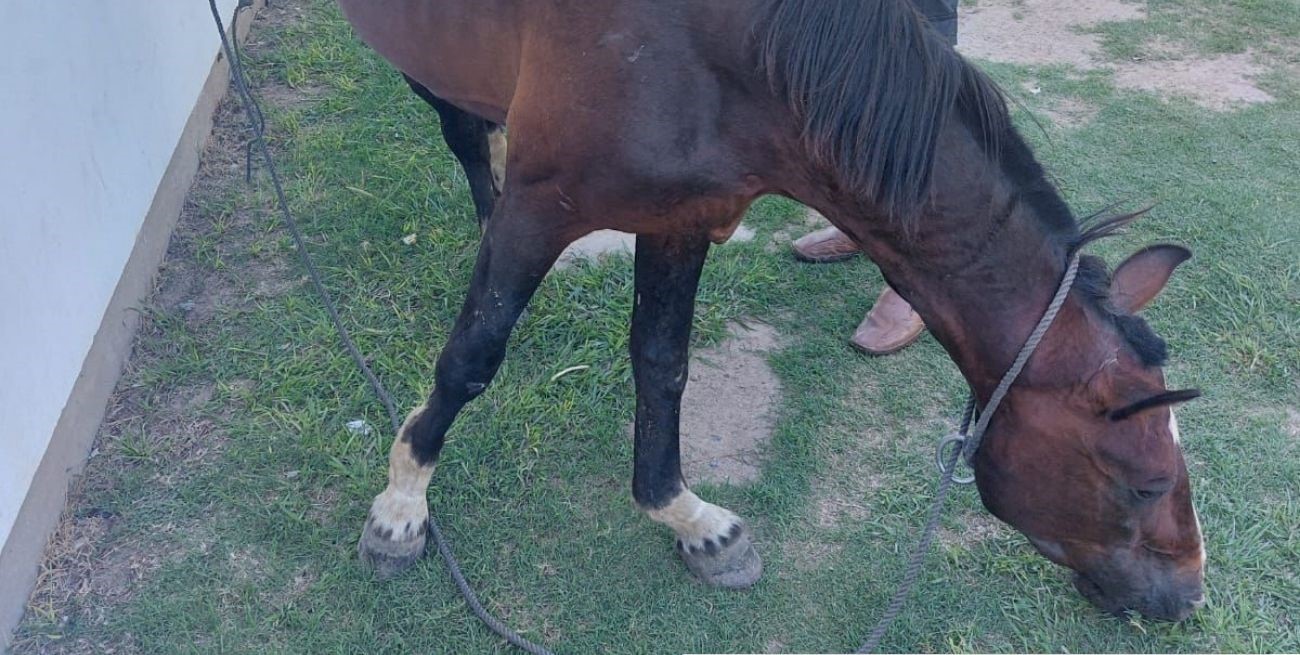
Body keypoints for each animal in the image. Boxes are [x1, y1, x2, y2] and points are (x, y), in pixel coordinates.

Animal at [337, 0, 1206, 622]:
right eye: (1146, 484)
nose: (1188, 596)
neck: (727, 49)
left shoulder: (679, 214)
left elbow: (662, 362)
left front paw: (690, 520)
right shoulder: (542, 208)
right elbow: (474, 353)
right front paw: (402, 505)